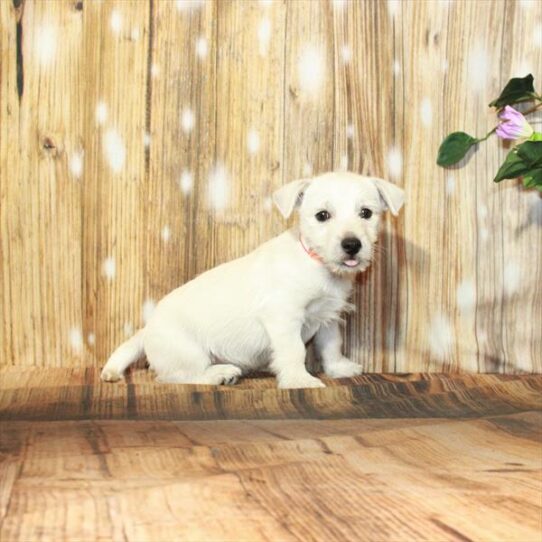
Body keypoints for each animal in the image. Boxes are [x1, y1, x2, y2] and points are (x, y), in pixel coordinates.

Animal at [102, 172, 406, 388]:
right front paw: (299, 380)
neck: (316, 264)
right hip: (187, 351)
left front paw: (339, 368)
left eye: (366, 213)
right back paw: (219, 374)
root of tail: (147, 330)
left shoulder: (328, 316)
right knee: (178, 375)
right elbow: (295, 350)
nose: (352, 245)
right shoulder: (284, 316)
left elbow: (330, 345)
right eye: (322, 216)